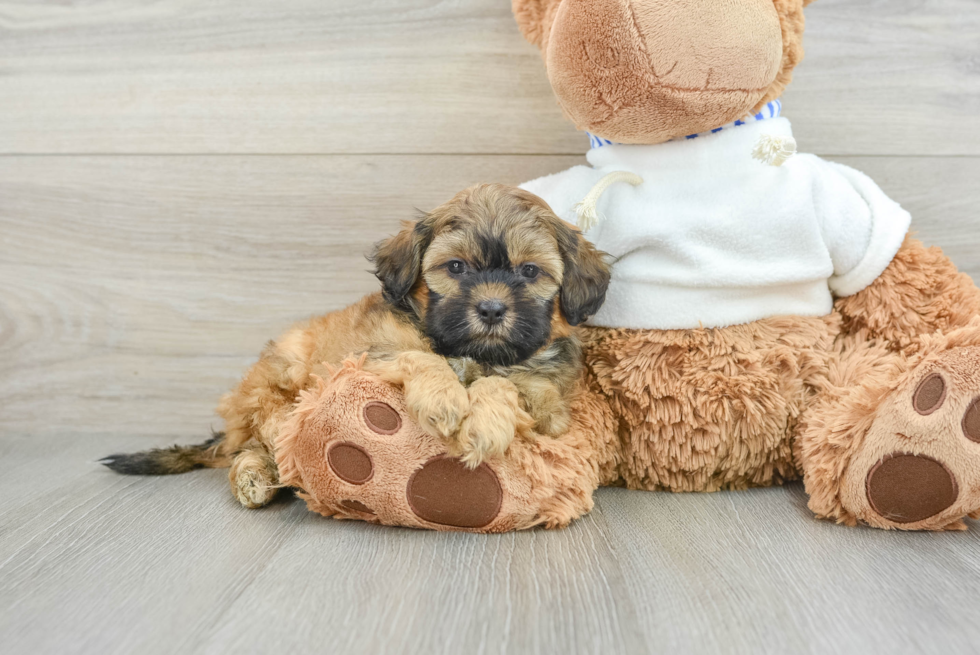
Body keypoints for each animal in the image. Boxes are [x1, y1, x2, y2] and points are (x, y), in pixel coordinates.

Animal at [107, 182, 612, 510]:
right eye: (456, 267)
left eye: (529, 272)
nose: (491, 309)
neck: (474, 353)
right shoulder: (364, 355)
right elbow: (420, 355)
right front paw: (445, 397)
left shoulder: (549, 404)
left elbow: (509, 386)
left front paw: (485, 422)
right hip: (277, 384)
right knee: (260, 439)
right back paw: (257, 474)